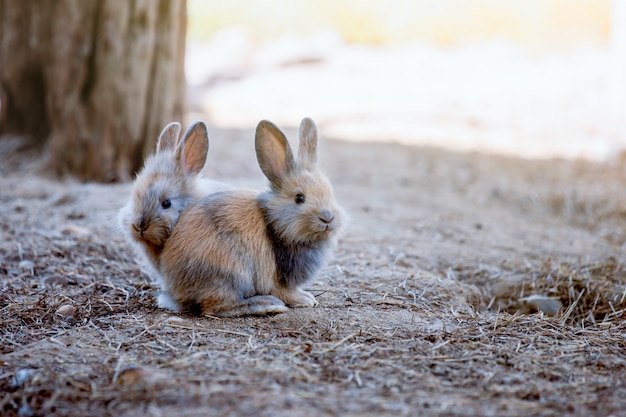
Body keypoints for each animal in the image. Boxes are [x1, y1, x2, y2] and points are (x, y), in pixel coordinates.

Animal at [158, 117, 344, 316]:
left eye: (330, 192)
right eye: (299, 198)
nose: (327, 218)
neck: (276, 222)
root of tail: (175, 293)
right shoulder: (278, 279)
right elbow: (284, 292)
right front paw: (304, 299)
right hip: (230, 273)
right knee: (215, 306)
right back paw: (265, 304)